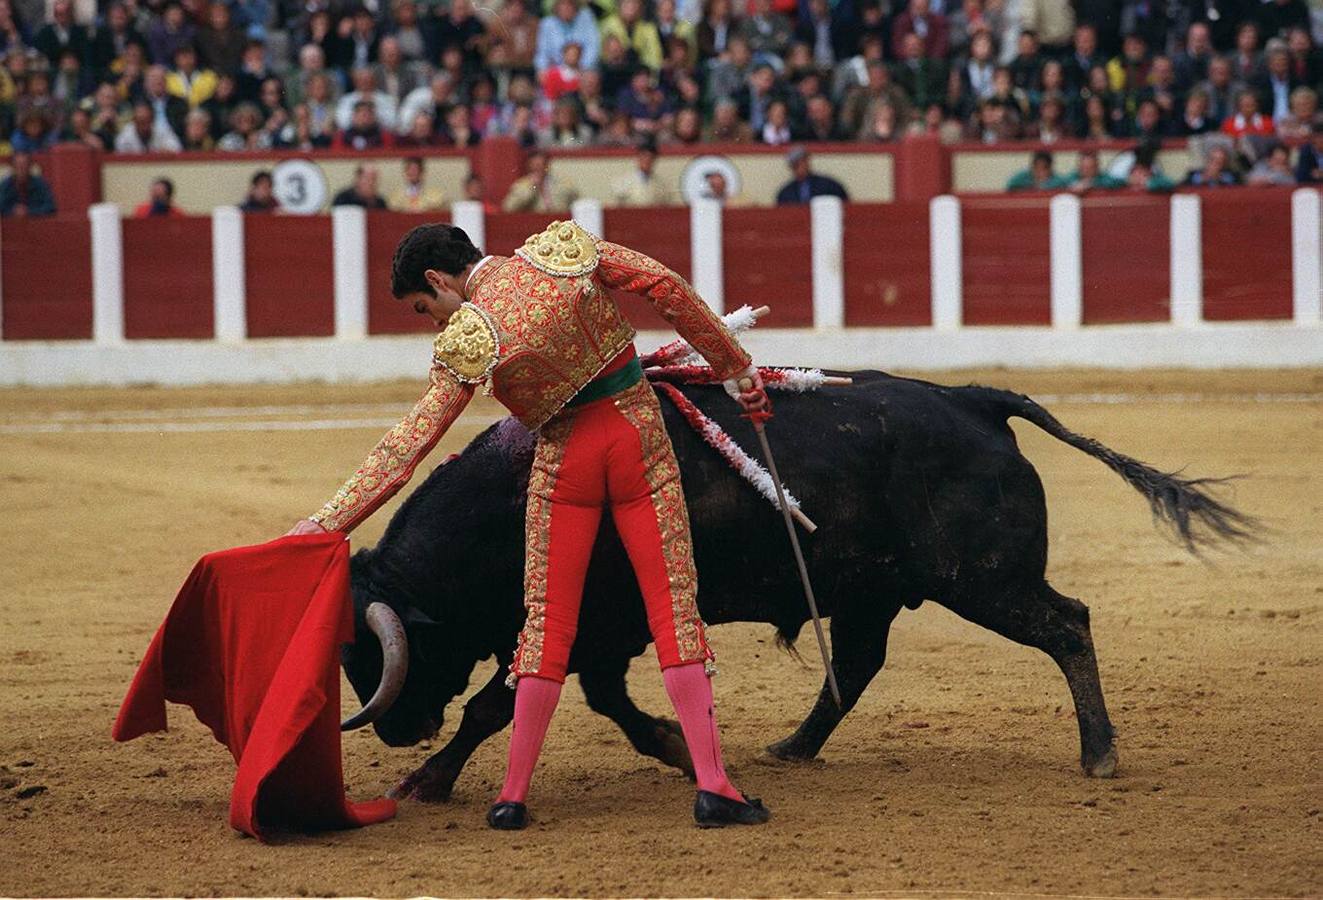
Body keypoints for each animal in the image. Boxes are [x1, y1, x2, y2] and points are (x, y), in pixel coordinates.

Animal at [338, 370, 1248, 799]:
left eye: (385, 654)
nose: (397, 732)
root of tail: (972, 400)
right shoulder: (601, 632)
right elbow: (586, 698)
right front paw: (677, 745)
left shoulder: (591, 623)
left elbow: (499, 705)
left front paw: (425, 782)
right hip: (874, 591)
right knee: (857, 666)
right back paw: (792, 747)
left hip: (982, 580)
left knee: (1067, 625)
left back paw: (1098, 754)